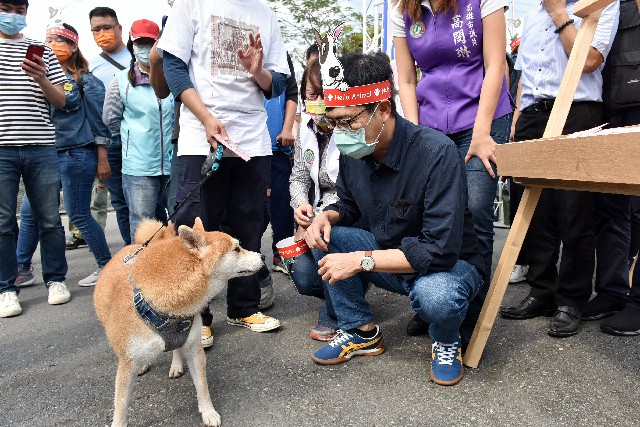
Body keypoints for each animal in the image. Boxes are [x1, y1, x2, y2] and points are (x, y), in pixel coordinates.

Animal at [93, 219, 262, 427]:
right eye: (237, 248)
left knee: (175, 348)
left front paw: (208, 412)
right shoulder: (127, 362)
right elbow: (121, 404)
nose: (262, 256)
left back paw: (176, 365)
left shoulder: (193, 348)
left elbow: (202, 387)